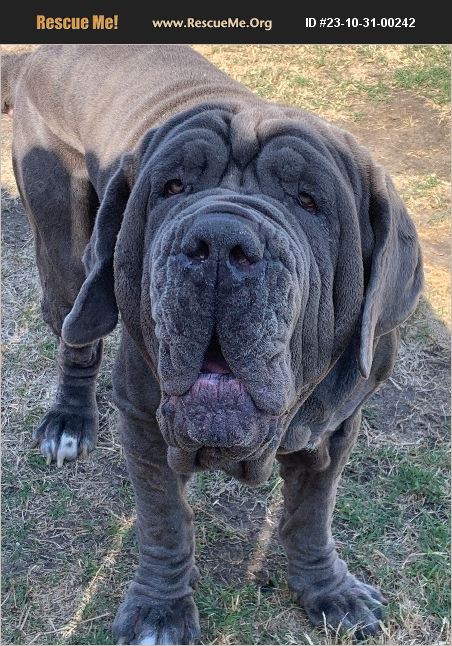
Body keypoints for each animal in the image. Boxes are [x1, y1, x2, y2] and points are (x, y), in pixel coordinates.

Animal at [1, 44, 422, 644]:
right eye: (173, 187)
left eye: (309, 201)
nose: (220, 243)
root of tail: (36, 53)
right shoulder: (143, 418)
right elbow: (165, 521)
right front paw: (160, 611)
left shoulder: (339, 423)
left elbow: (311, 515)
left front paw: (331, 589)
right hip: (62, 247)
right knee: (75, 334)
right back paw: (68, 423)